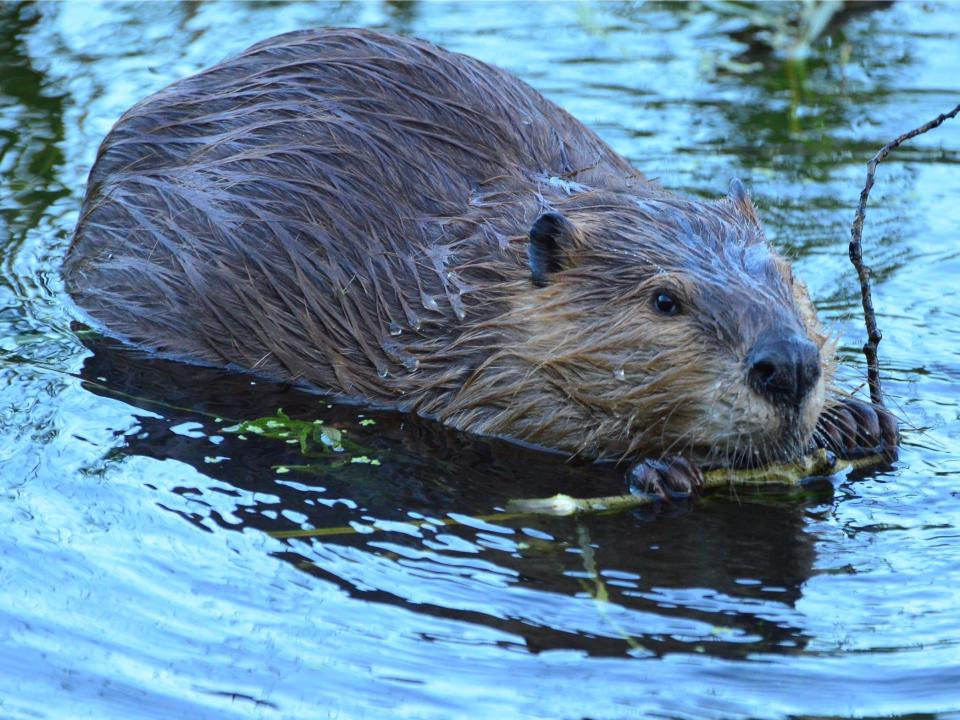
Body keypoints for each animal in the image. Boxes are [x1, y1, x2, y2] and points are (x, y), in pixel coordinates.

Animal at [63, 26, 896, 496]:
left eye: (786, 277)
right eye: (665, 300)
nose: (788, 365)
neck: (476, 286)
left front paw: (855, 418)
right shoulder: (466, 361)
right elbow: (511, 419)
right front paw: (659, 468)